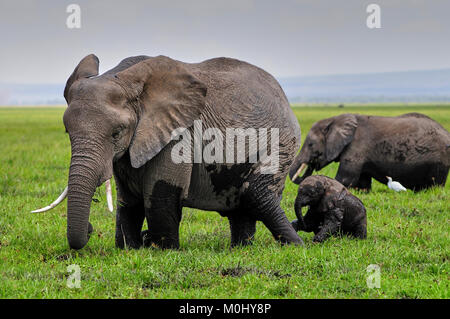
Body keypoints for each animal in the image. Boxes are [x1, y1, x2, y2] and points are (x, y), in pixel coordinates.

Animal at [33, 54, 304, 250]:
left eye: (116, 133)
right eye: (67, 132)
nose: (90, 229)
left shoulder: (179, 135)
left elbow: (161, 193)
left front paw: (163, 250)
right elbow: (129, 201)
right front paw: (128, 249)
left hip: (282, 141)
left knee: (257, 194)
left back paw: (296, 245)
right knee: (242, 207)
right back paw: (240, 249)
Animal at [290, 113, 448, 191]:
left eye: (311, 144)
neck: (333, 120)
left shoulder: (357, 147)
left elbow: (345, 179)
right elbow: (362, 181)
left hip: (439, 161)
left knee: (435, 184)